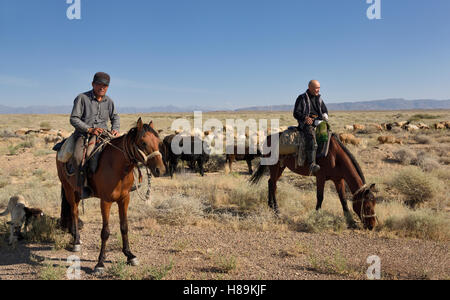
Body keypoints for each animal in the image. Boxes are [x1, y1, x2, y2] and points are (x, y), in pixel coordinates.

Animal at [56, 118, 165, 274]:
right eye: (143, 143)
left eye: (158, 142)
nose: (160, 170)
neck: (117, 167)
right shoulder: (105, 201)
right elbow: (105, 232)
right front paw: (100, 263)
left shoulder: (124, 199)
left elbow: (124, 226)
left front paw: (129, 255)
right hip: (68, 188)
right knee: (74, 212)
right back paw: (76, 241)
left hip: (75, 191)